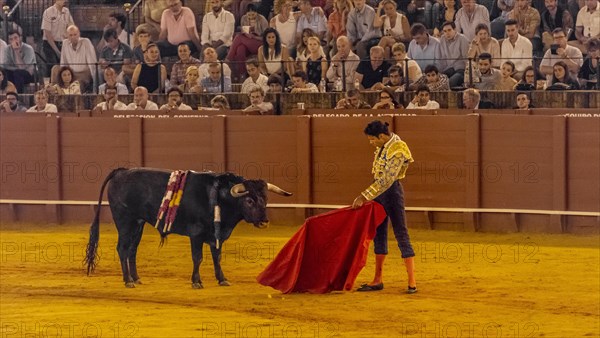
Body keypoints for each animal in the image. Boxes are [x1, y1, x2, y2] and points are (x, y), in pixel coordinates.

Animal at [84, 167, 292, 288]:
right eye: (249, 200)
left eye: (265, 199)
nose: (264, 221)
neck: (219, 196)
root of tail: (122, 171)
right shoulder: (196, 234)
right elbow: (198, 258)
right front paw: (197, 281)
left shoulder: (217, 235)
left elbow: (217, 257)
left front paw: (222, 279)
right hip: (125, 221)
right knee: (122, 249)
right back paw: (128, 281)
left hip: (138, 224)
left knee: (131, 250)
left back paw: (136, 278)